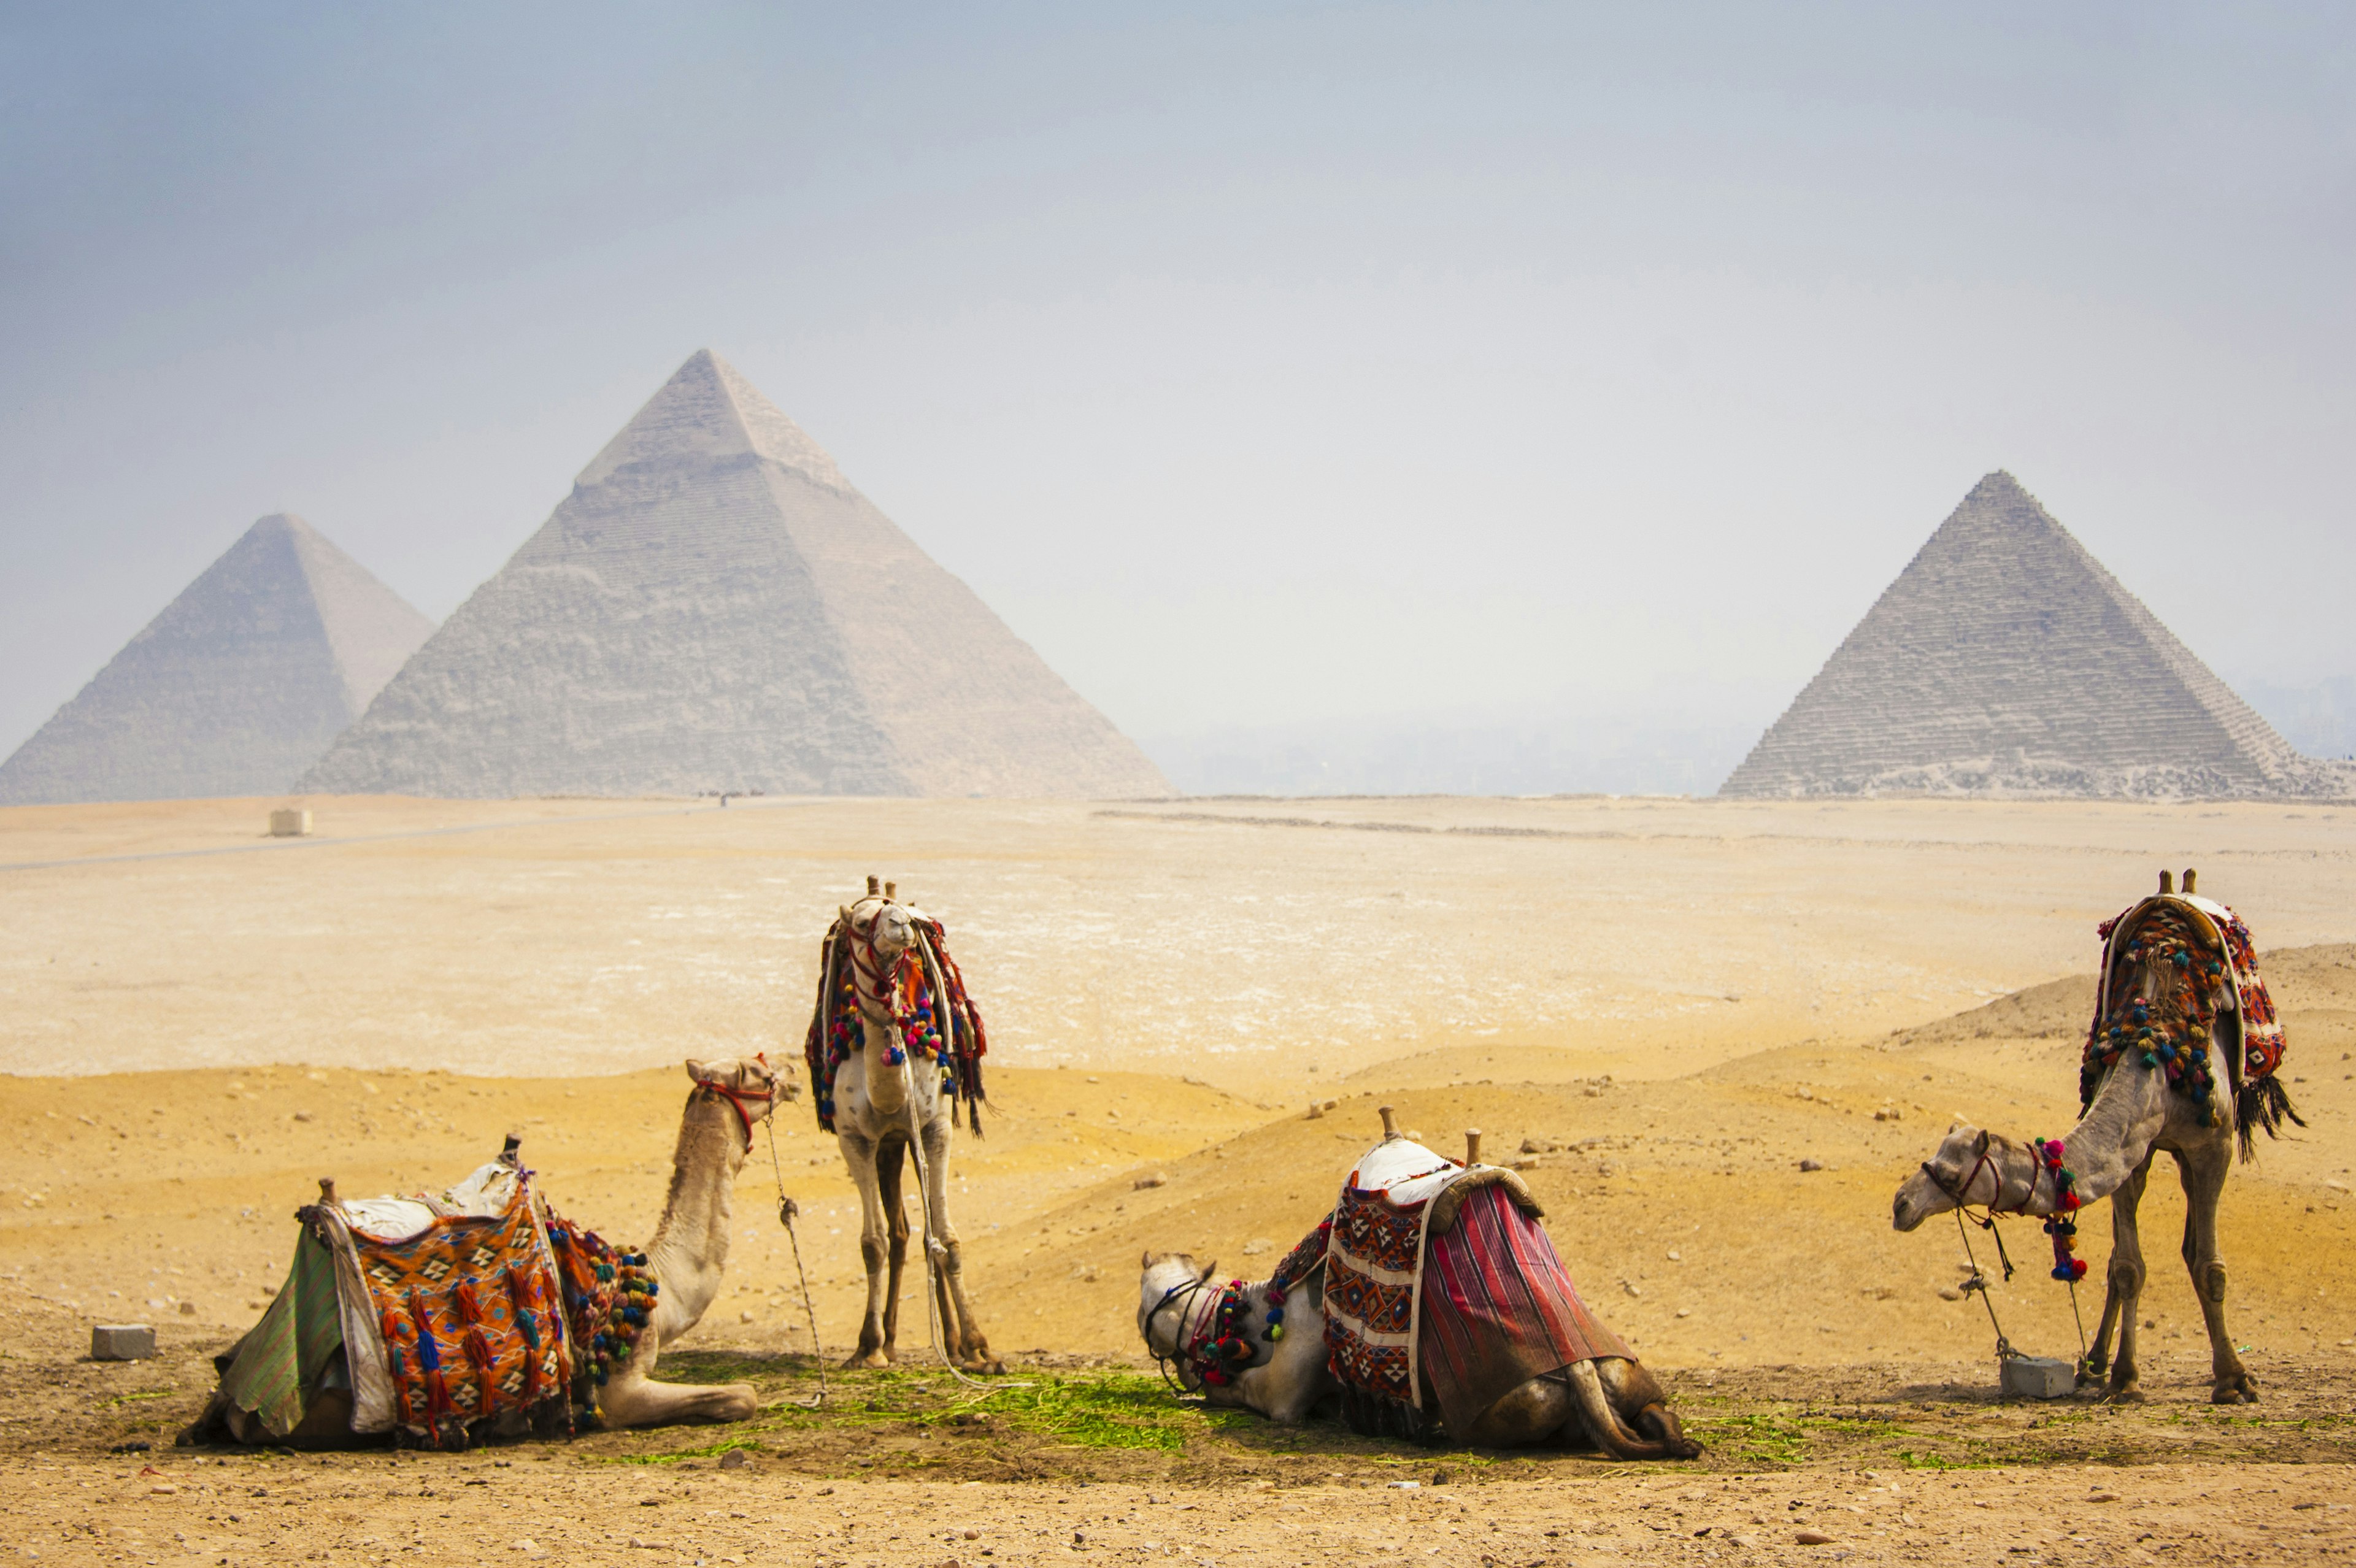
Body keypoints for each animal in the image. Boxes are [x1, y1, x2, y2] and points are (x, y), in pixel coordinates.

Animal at [810, 880, 1003, 1365]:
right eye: (863, 922)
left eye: (902, 917)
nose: (902, 926)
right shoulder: (855, 1139)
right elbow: (873, 1242)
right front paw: (869, 1347)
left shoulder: (934, 1129)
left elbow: (947, 1237)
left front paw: (978, 1346)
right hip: (889, 1145)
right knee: (898, 1234)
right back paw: (890, 1340)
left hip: (908, 1140)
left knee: (925, 1233)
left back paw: (952, 1343)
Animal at [1894, 866, 2299, 1403]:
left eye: (1952, 1173)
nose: (1901, 1205)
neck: (2155, 1053)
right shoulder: (2134, 1153)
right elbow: (2126, 1267)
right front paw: (2125, 1377)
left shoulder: (2215, 1146)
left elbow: (2211, 1267)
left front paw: (2234, 1379)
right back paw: (2095, 1363)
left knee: (2195, 1247)